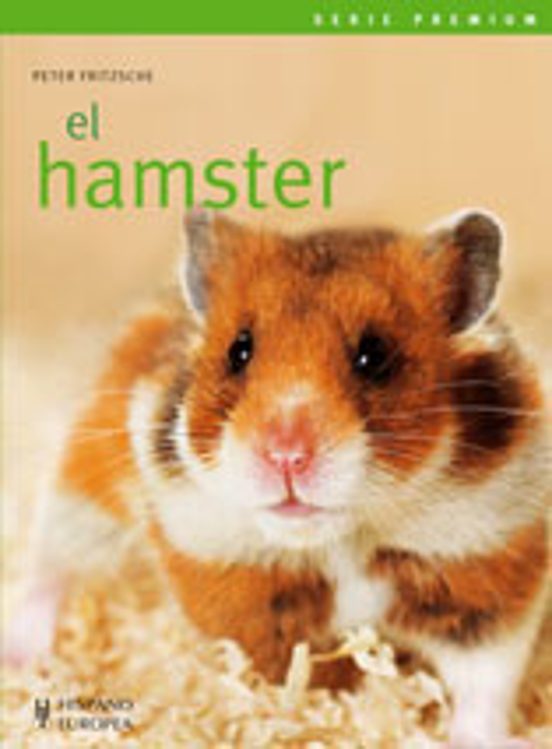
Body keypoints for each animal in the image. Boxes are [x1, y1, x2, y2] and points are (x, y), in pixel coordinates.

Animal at [6, 209, 549, 749]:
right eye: (238, 350)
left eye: (374, 356)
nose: (285, 457)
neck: (342, 538)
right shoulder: (235, 587)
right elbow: (284, 670)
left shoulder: (485, 583)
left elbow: (484, 685)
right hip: (81, 497)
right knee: (50, 570)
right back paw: (23, 656)